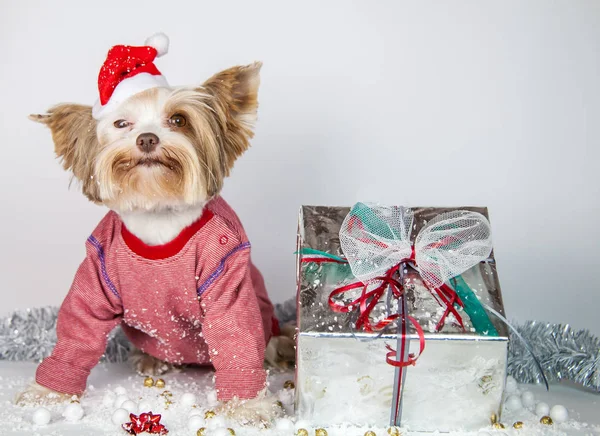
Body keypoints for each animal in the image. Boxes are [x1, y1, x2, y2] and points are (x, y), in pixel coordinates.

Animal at [15, 35, 294, 426]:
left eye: (179, 120)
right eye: (122, 124)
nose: (147, 138)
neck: (159, 213)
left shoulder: (227, 264)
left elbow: (236, 333)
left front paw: (247, 405)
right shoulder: (97, 266)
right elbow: (79, 326)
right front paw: (47, 392)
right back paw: (151, 359)